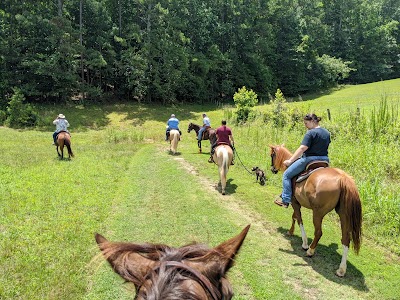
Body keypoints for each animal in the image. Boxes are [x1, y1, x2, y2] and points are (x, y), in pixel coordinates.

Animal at [268, 145, 362, 276]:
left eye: (272, 155)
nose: (273, 169)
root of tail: (343, 179)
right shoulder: (296, 202)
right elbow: (294, 217)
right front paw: (290, 231)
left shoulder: (294, 202)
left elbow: (299, 220)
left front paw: (304, 243)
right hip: (344, 215)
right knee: (345, 239)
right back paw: (341, 270)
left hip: (318, 213)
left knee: (318, 232)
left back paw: (310, 251)